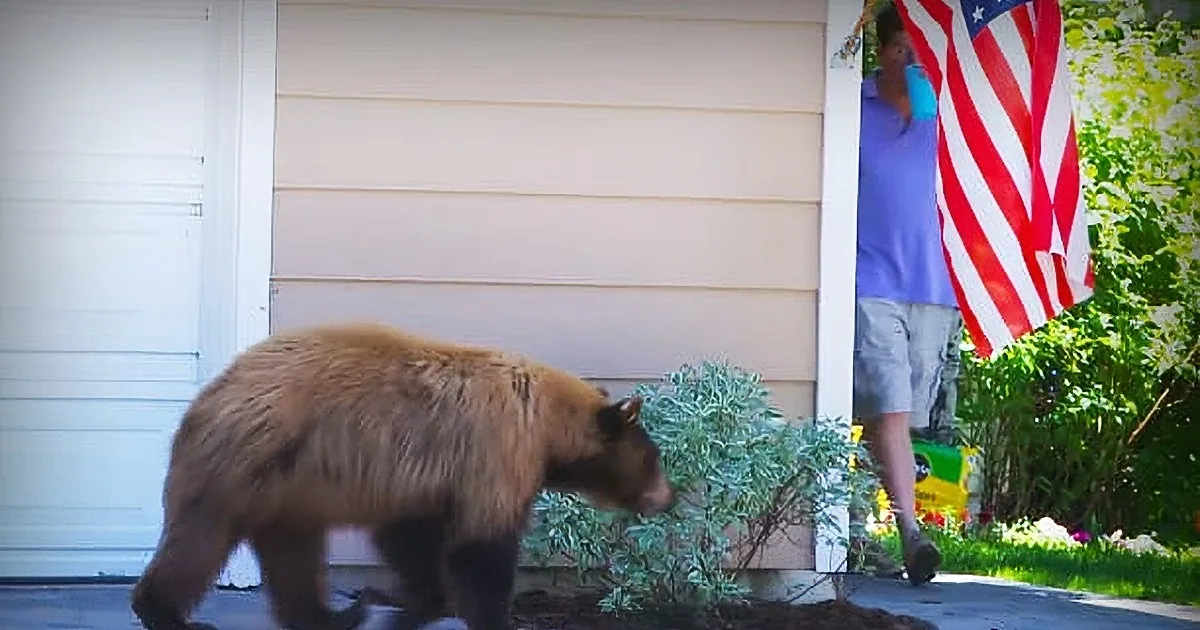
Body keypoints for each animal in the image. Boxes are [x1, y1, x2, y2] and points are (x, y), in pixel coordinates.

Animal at [130, 321, 676, 630]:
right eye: (653, 459)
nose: (668, 498)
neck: (544, 422)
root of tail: (208, 395)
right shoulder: (495, 455)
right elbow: (482, 548)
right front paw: (485, 615)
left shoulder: (423, 482)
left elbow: (410, 536)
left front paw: (411, 603)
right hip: (245, 463)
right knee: (200, 539)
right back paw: (165, 613)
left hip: (288, 488)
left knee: (293, 555)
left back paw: (332, 616)